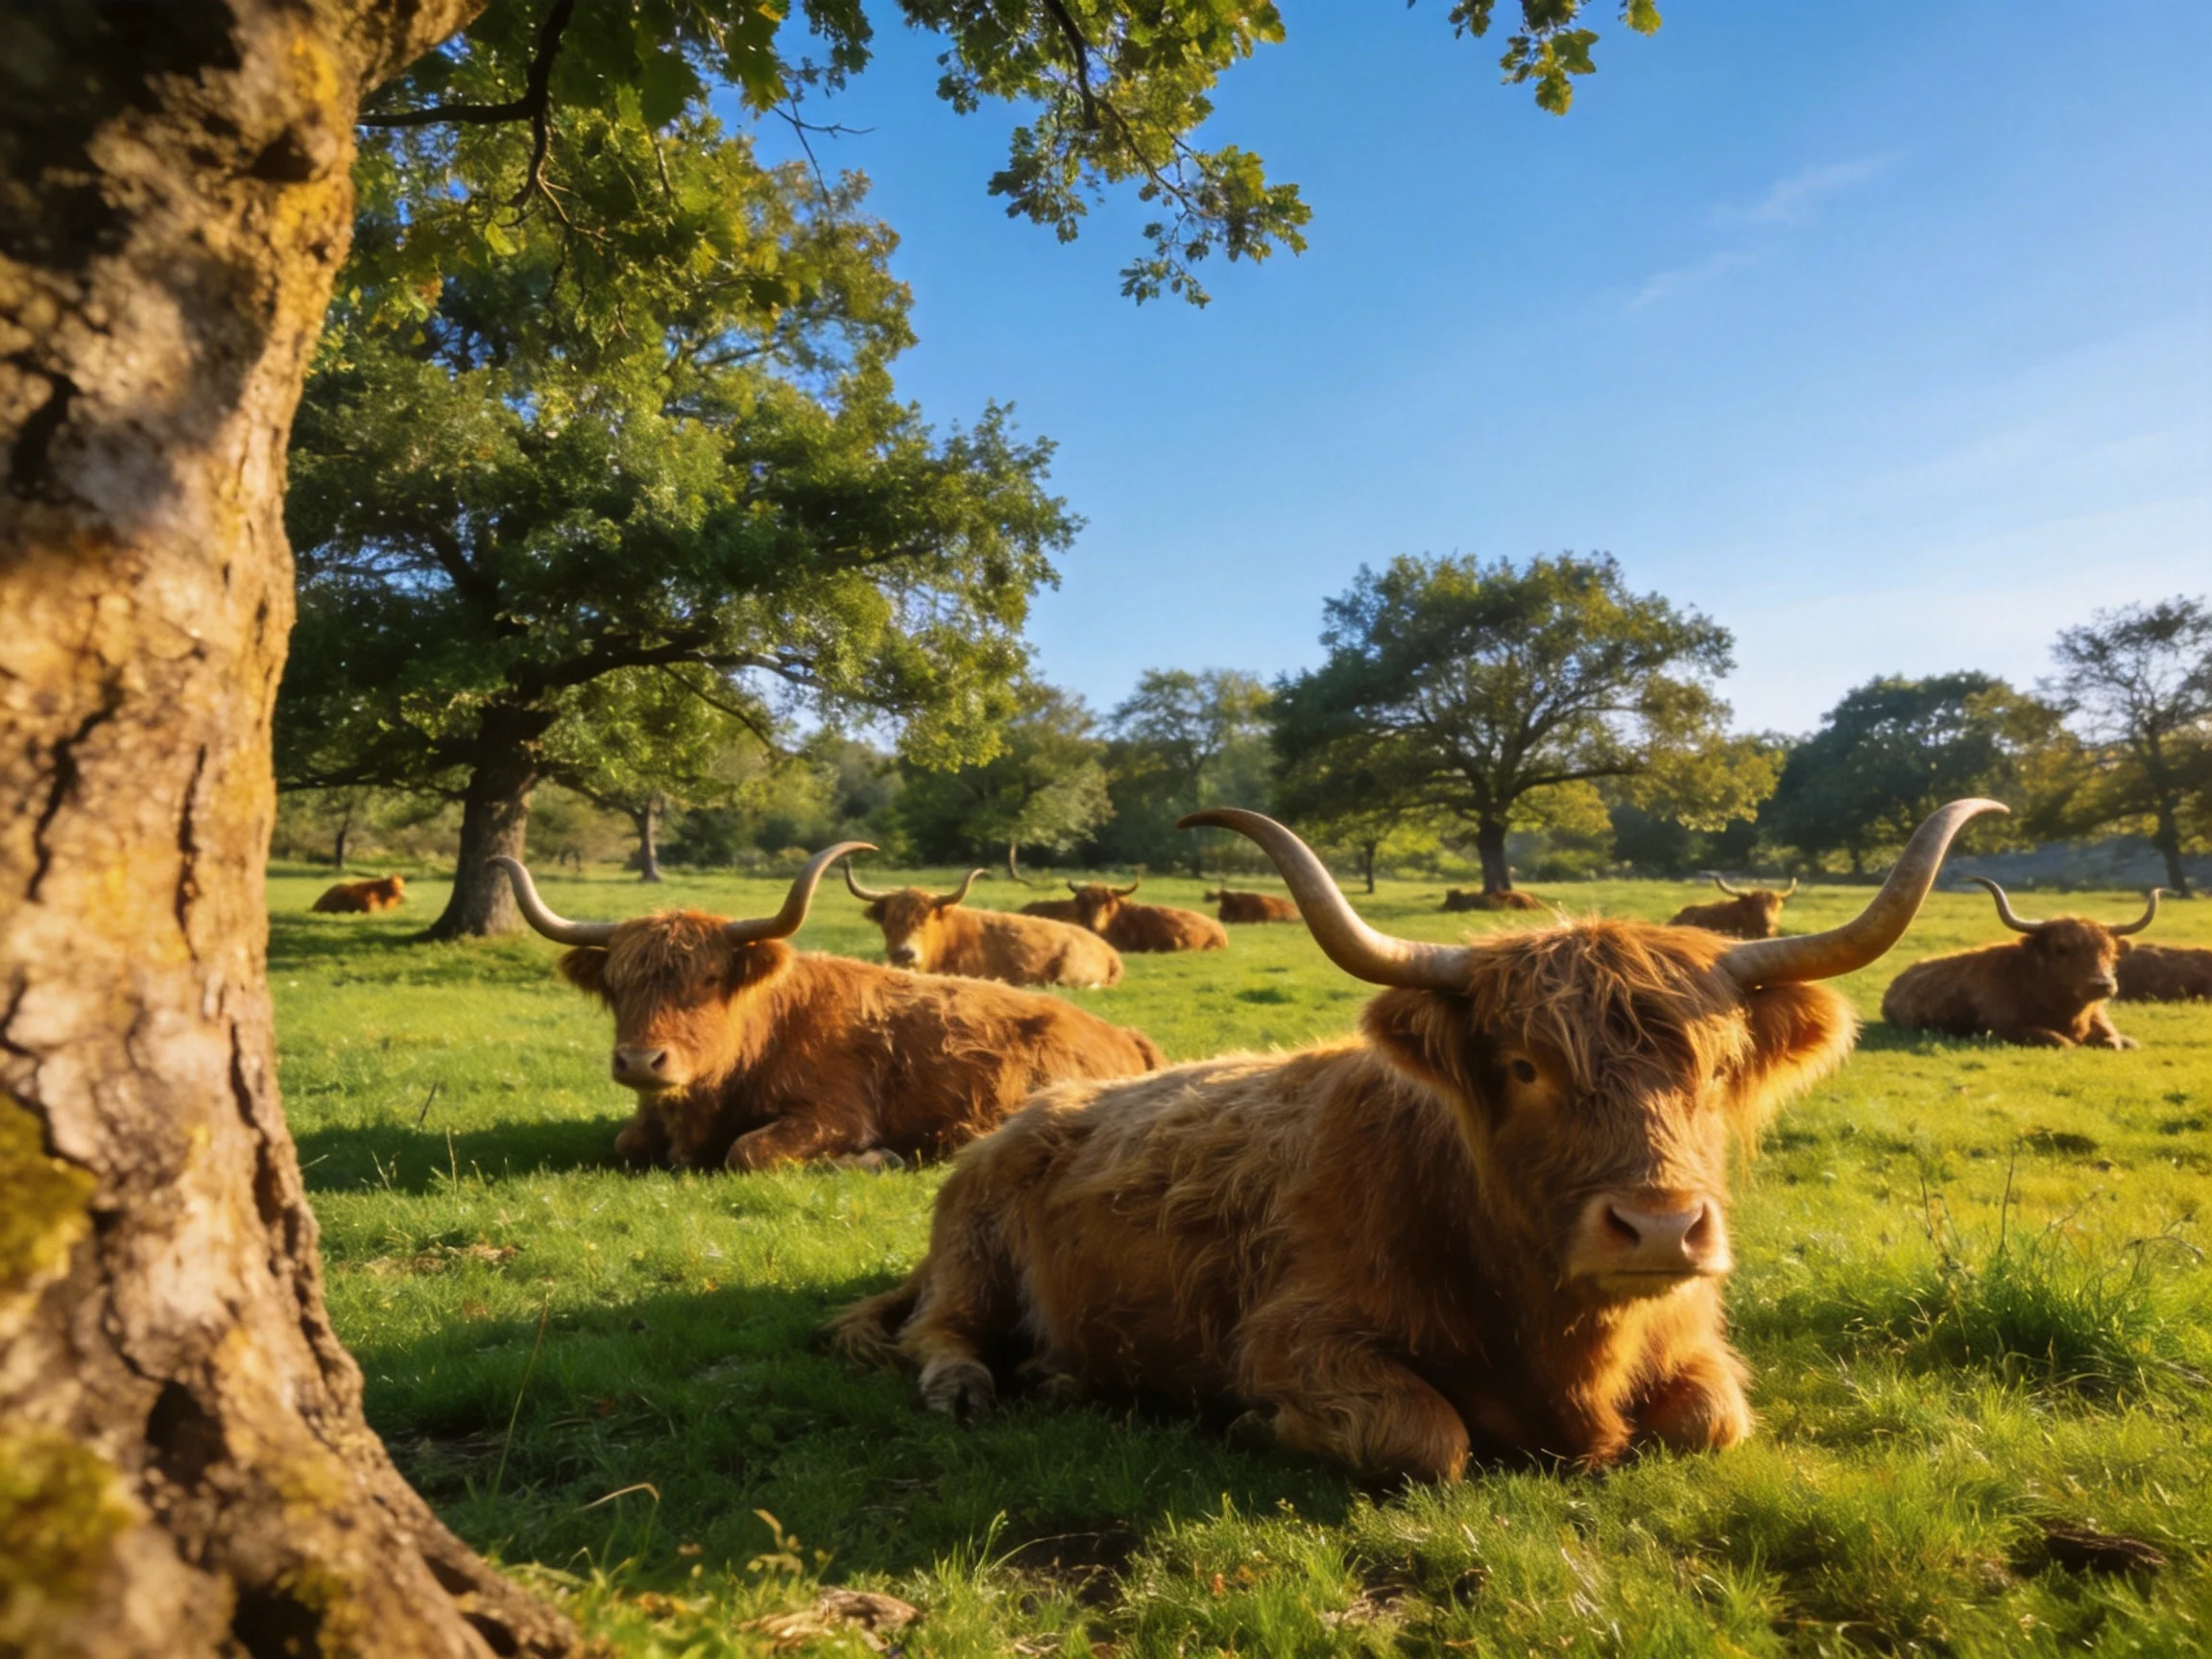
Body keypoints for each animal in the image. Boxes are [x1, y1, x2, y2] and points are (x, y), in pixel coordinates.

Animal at [1880, 879, 2162, 1049]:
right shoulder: (2003, 1027)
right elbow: (2061, 1041)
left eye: (2110, 952)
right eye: (2061, 949)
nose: (2102, 985)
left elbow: (2117, 1041)